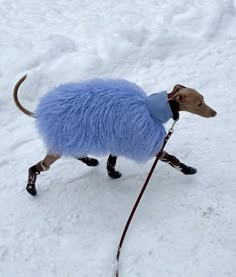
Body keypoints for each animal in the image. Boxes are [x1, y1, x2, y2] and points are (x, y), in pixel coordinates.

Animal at [12, 74, 216, 194]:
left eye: (203, 99)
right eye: (199, 104)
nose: (214, 113)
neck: (150, 109)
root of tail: (41, 111)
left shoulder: (119, 139)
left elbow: (111, 161)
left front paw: (112, 173)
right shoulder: (147, 143)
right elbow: (172, 158)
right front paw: (187, 169)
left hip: (71, 138)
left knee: (73, 152)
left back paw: (90, 160)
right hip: (63, 140)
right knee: (37, 167)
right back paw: (31, 187)